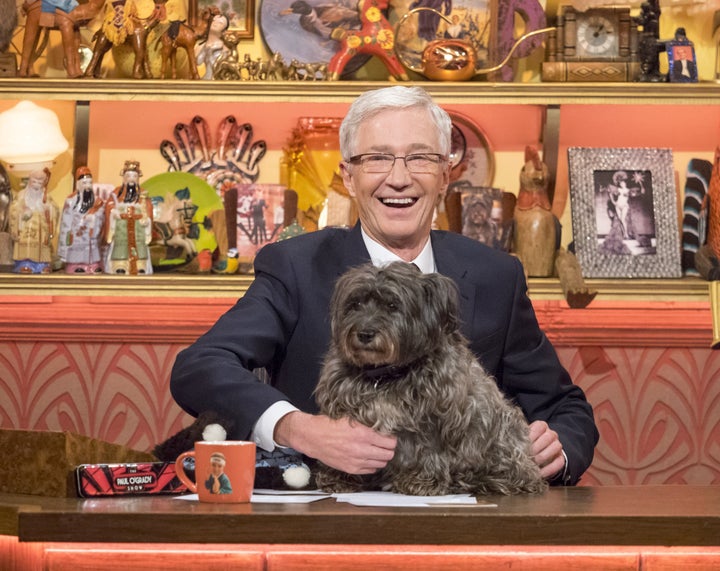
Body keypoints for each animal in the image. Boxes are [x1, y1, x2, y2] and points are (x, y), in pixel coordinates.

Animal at [314, 262, 544, 496]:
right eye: (355, 304)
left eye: (392, 305)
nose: (365, 333)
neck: (385, 374)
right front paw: (340, 476)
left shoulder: (436, 418)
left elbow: (429, 450)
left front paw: (423, 481)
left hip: (504, 427)